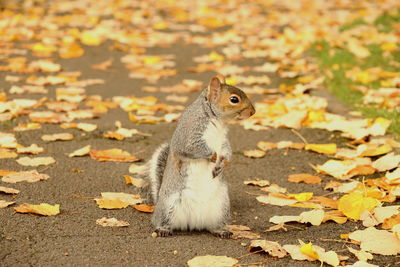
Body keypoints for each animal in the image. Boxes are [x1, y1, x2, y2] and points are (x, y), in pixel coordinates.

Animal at [145, 75, 255, 239]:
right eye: (234, 99)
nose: (253, 112)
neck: (215, 120)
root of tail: (192, 224)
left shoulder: (223, 140)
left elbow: (226, 151)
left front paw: (221, 164)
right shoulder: (190, 136)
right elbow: (194, 148)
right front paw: (213, 157)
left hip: (221, 207)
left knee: (213, 226)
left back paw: (221, 231)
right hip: (168, 205)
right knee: (162, 221)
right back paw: (163, 229)